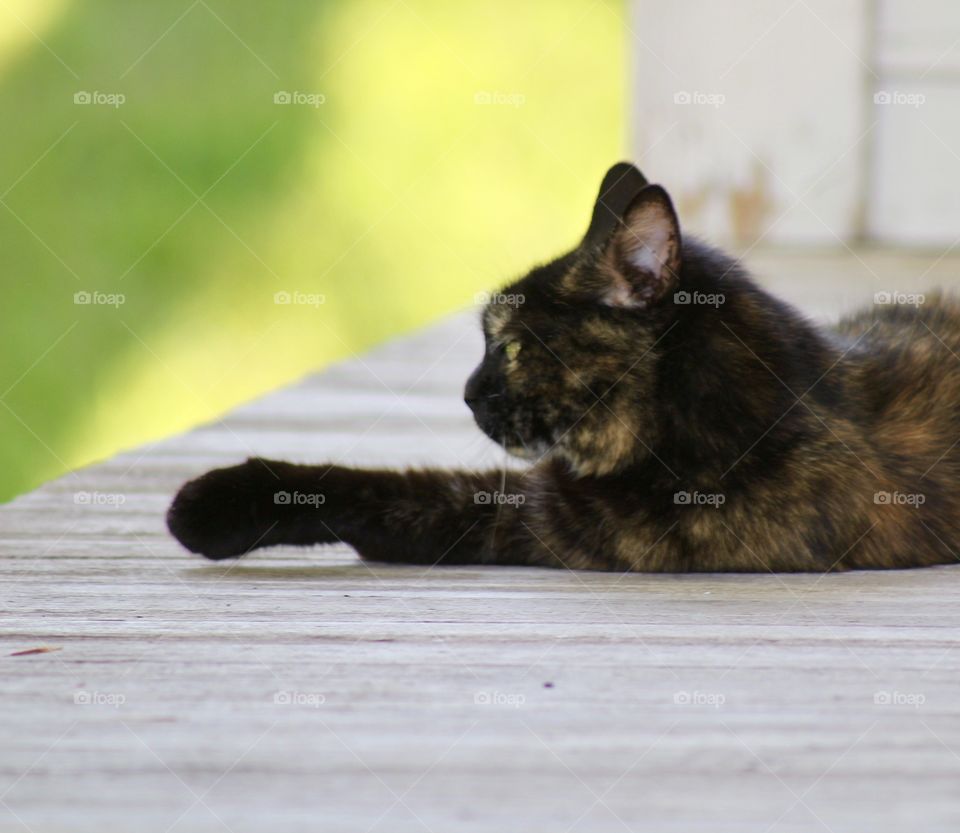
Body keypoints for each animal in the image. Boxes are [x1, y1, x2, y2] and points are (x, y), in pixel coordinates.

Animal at [169, 162, 960, 572]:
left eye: (512, 346)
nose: (467, 394)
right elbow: (385, 490)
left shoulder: (546, 524)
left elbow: (390, 493)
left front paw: (208, 506)